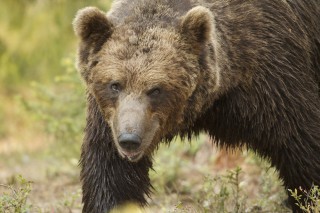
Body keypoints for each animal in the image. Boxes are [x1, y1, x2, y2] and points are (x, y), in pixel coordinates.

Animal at [74, 0, 320, 211]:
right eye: (115, 85)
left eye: (156, 89)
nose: (129, 139)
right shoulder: (108, 119)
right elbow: (111, 172)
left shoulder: (273, 81)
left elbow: (303, 146)